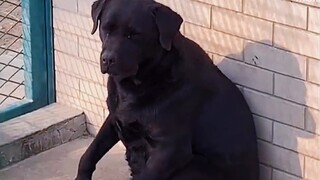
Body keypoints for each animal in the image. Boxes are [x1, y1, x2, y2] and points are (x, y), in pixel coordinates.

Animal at [77, 0, 260, 179]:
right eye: (106, 29)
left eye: (134, 35)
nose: (107, 59)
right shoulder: (115, 117)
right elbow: (89, 154)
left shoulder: (170, 149)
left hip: (189, 169)